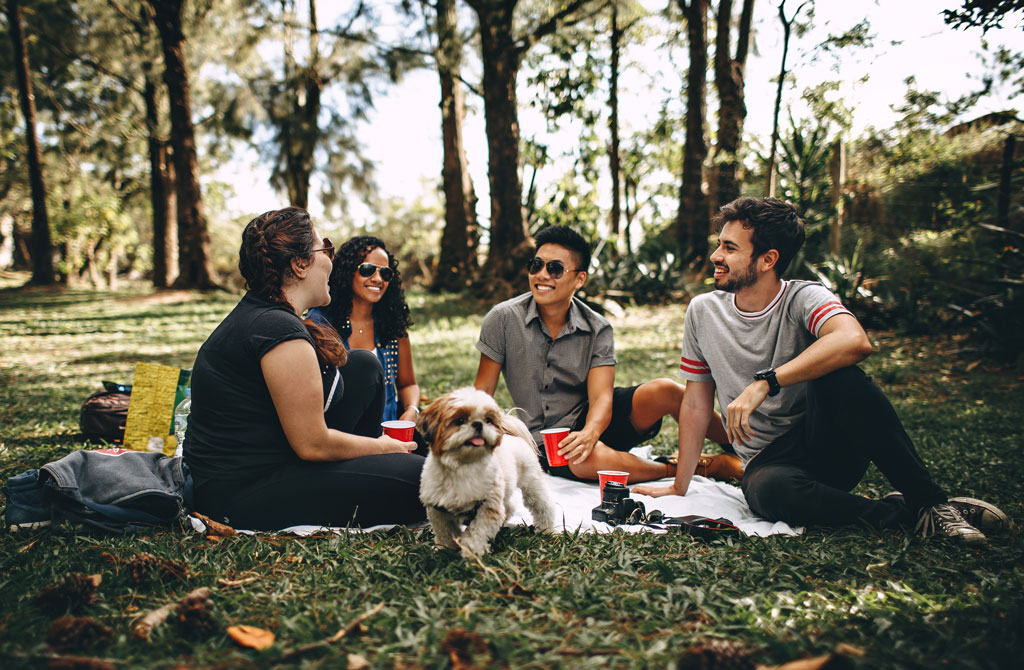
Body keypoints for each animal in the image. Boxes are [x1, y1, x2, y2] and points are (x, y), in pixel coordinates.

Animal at [413, 385, 557, 557]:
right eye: (460, 420)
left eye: (488, 420)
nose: (478, 424)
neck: (462, 466)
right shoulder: (438, 509)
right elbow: (445, 532)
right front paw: (444, 549)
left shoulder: (488, 507)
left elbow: (477, 532)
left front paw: (472, 552)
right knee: (509, 506)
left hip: (532, 484)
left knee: (543, 506)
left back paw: (546, 529)